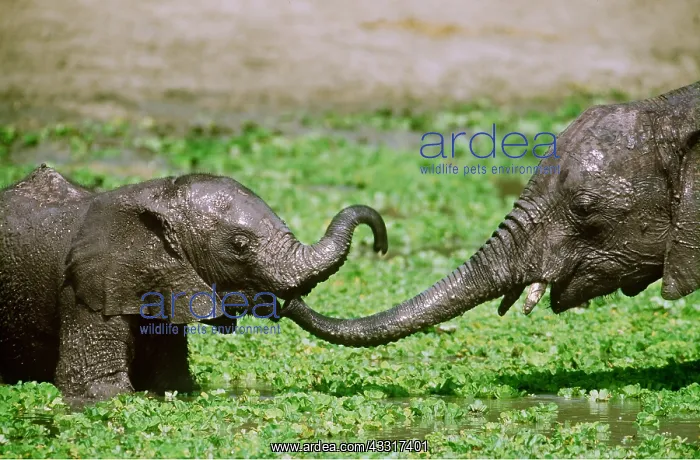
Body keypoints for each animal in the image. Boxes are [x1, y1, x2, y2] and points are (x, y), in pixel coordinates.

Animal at [0, 165, 388, 398]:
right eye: (239, 245)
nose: (380, 245)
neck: (154, 196)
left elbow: (174, 383)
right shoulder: (86, 291)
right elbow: (98, 391)